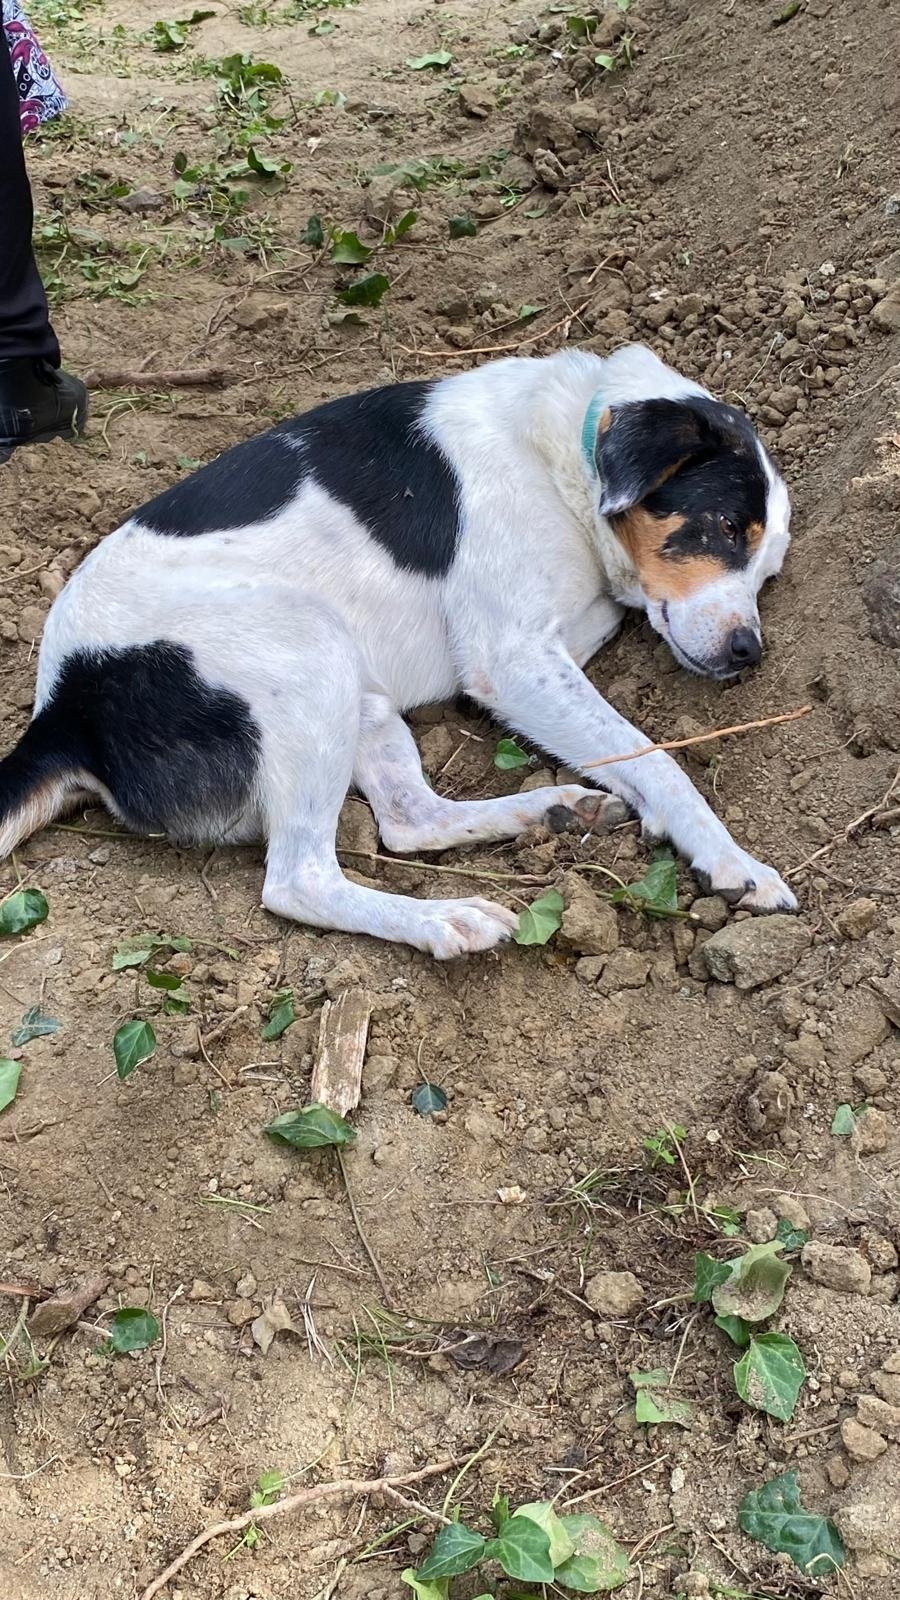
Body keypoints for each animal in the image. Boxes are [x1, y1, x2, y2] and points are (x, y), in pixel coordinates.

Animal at [0, 344, 791, 953]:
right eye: (725, 526)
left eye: (769, 571)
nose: (748, 652)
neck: (568, 448)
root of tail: (61, 713)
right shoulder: (511, 660)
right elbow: (655, 759)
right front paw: (732, 859)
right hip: (308, 646)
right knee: (299, 879)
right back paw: (445, 919)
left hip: (360, 693)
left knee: (410, 821)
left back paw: (549, 812)